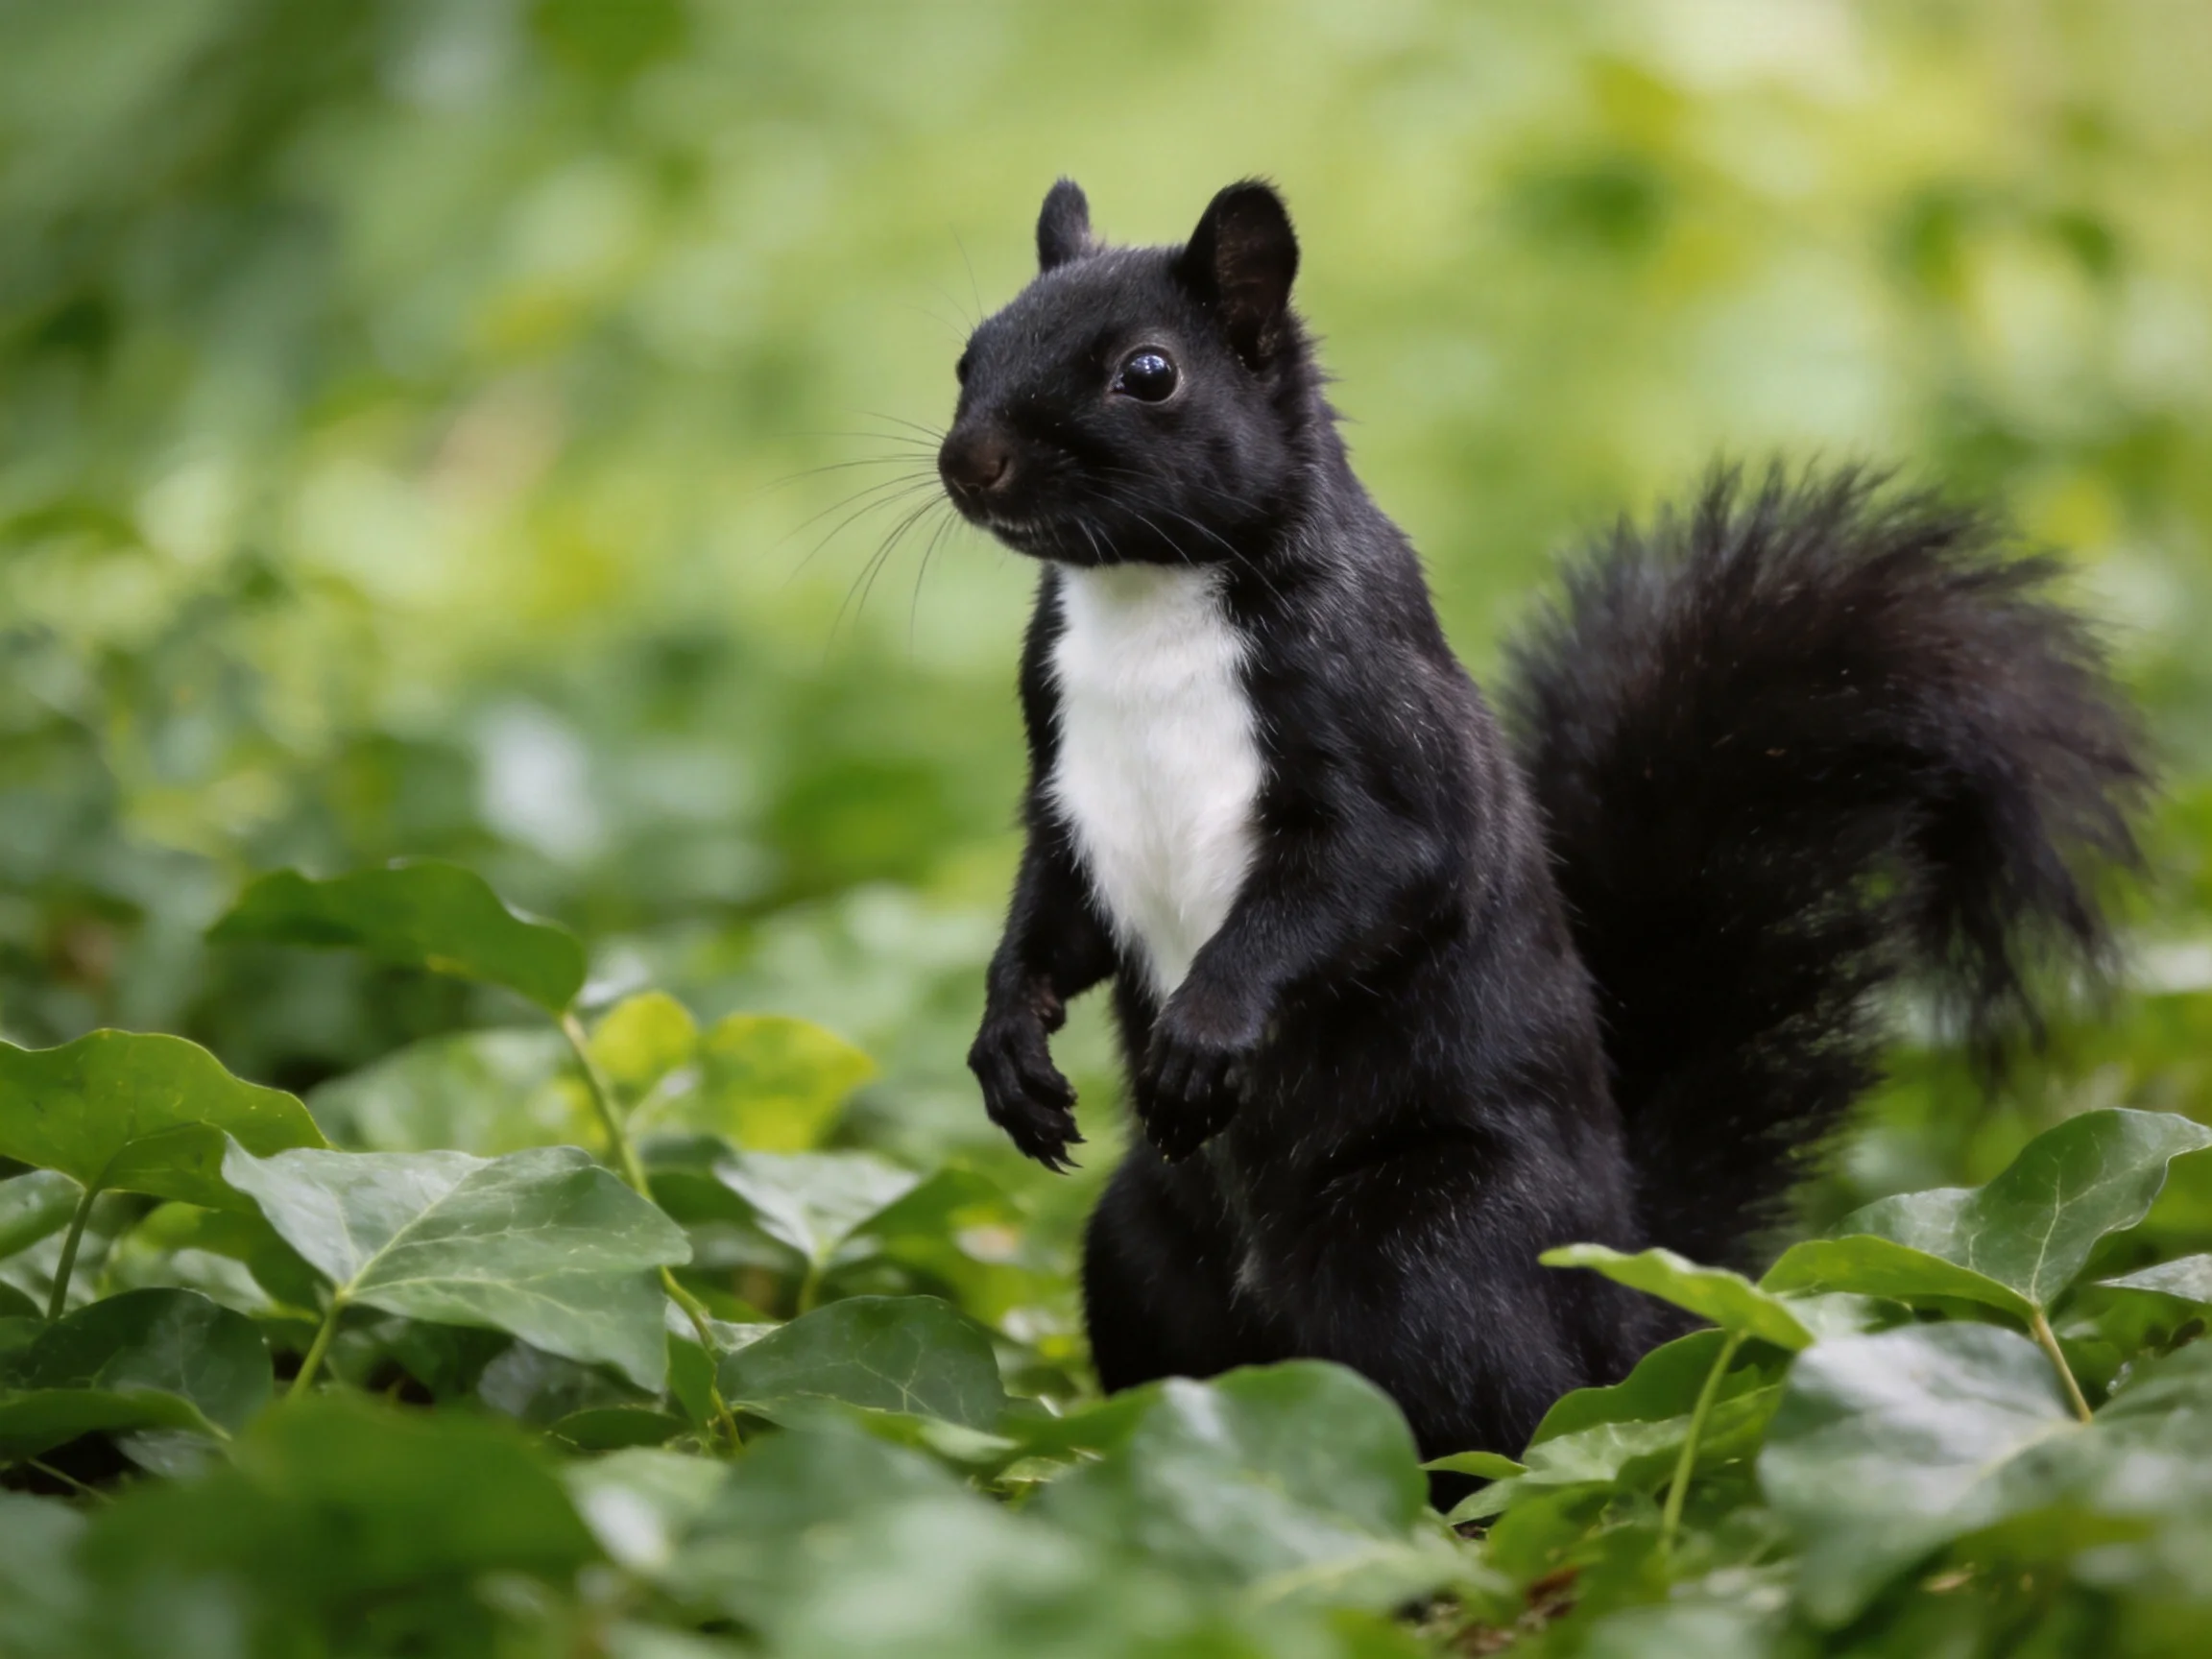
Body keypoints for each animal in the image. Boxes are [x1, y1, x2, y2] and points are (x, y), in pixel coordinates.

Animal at [937, 178, 2147, 1461]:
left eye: (1150, 372)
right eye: (970, 353)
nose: (972, 461)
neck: (1143, 603)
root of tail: (1635, 1293)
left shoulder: (1382, 735)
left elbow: (1364, 882)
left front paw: (1206, 1028)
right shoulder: (1062, 793)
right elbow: (1050, 920)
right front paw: (1008, 1044)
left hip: (1423, 1246)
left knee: (1519, 1419)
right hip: (1143, 1250)